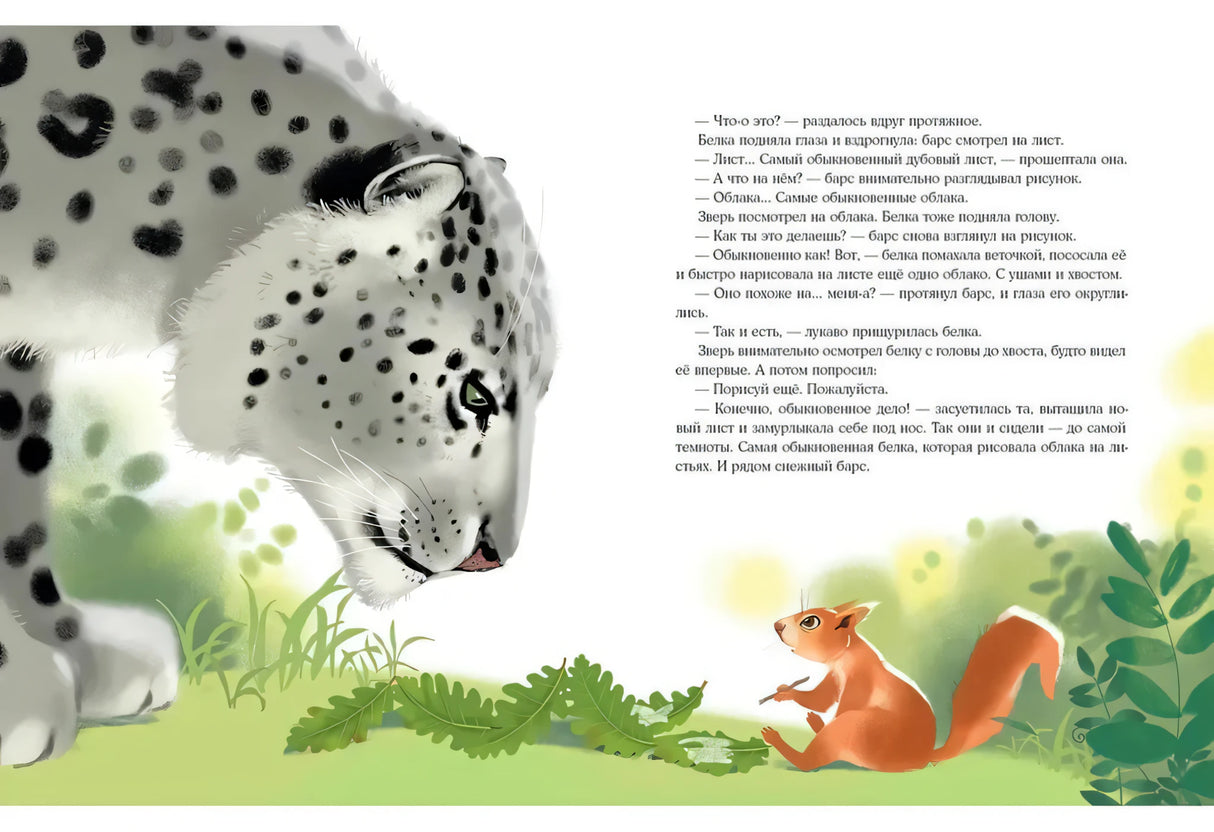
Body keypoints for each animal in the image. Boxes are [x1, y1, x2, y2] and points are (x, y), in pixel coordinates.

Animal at [760, 601, 1063, 772]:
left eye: (810, 621)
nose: (776, 625)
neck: (846, 655)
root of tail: (923, 757)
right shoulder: (835, 676)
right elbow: (820, 700)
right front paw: (786, 691)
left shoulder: (860, 680)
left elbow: (839, 704)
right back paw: (814, 724)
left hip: (859, 731)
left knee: (812, 759)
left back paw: (781, 740)